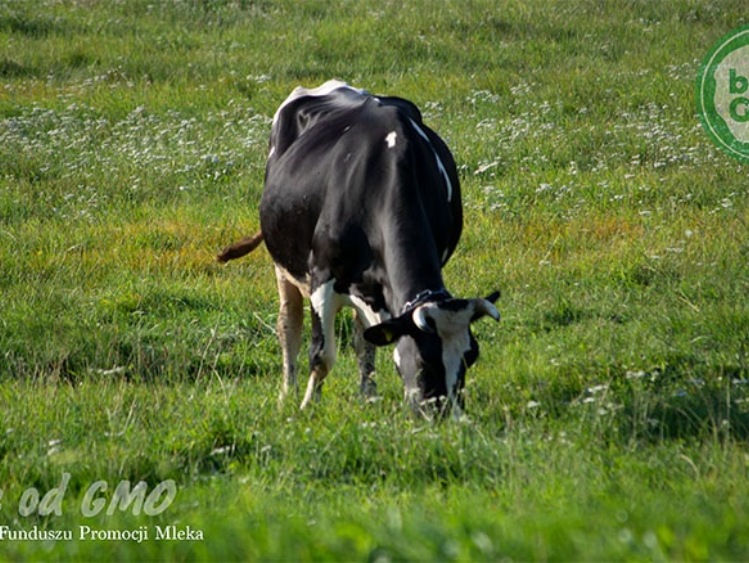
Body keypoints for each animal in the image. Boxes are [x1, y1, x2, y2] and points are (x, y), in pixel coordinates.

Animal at [224, 79, 502, 416]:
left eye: (471, 355)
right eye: (425, 359)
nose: (447, 415)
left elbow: (368, 342)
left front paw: (368, 398)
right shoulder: (322, 279)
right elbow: (321, 355)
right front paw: (307, 406)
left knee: (362, 337)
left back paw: (367, 394)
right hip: (283, 264)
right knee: (288, 324)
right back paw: (287, 392)